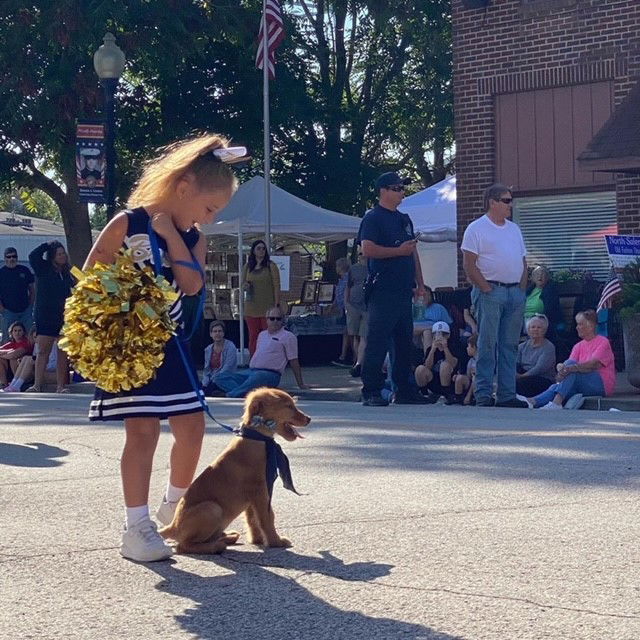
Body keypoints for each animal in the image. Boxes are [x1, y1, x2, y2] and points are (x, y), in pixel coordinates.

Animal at [159, 384, 310, 556]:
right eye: (288, 406)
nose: (309, 419)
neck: (257, 437)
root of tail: (173, 526)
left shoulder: (253, 497)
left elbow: (253, 519)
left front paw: (258, 540)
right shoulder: (260, 491)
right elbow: (267, 517)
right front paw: (275, 542)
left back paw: (227, 538)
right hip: (212, 509)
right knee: (183, 546)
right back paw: (216, 546)